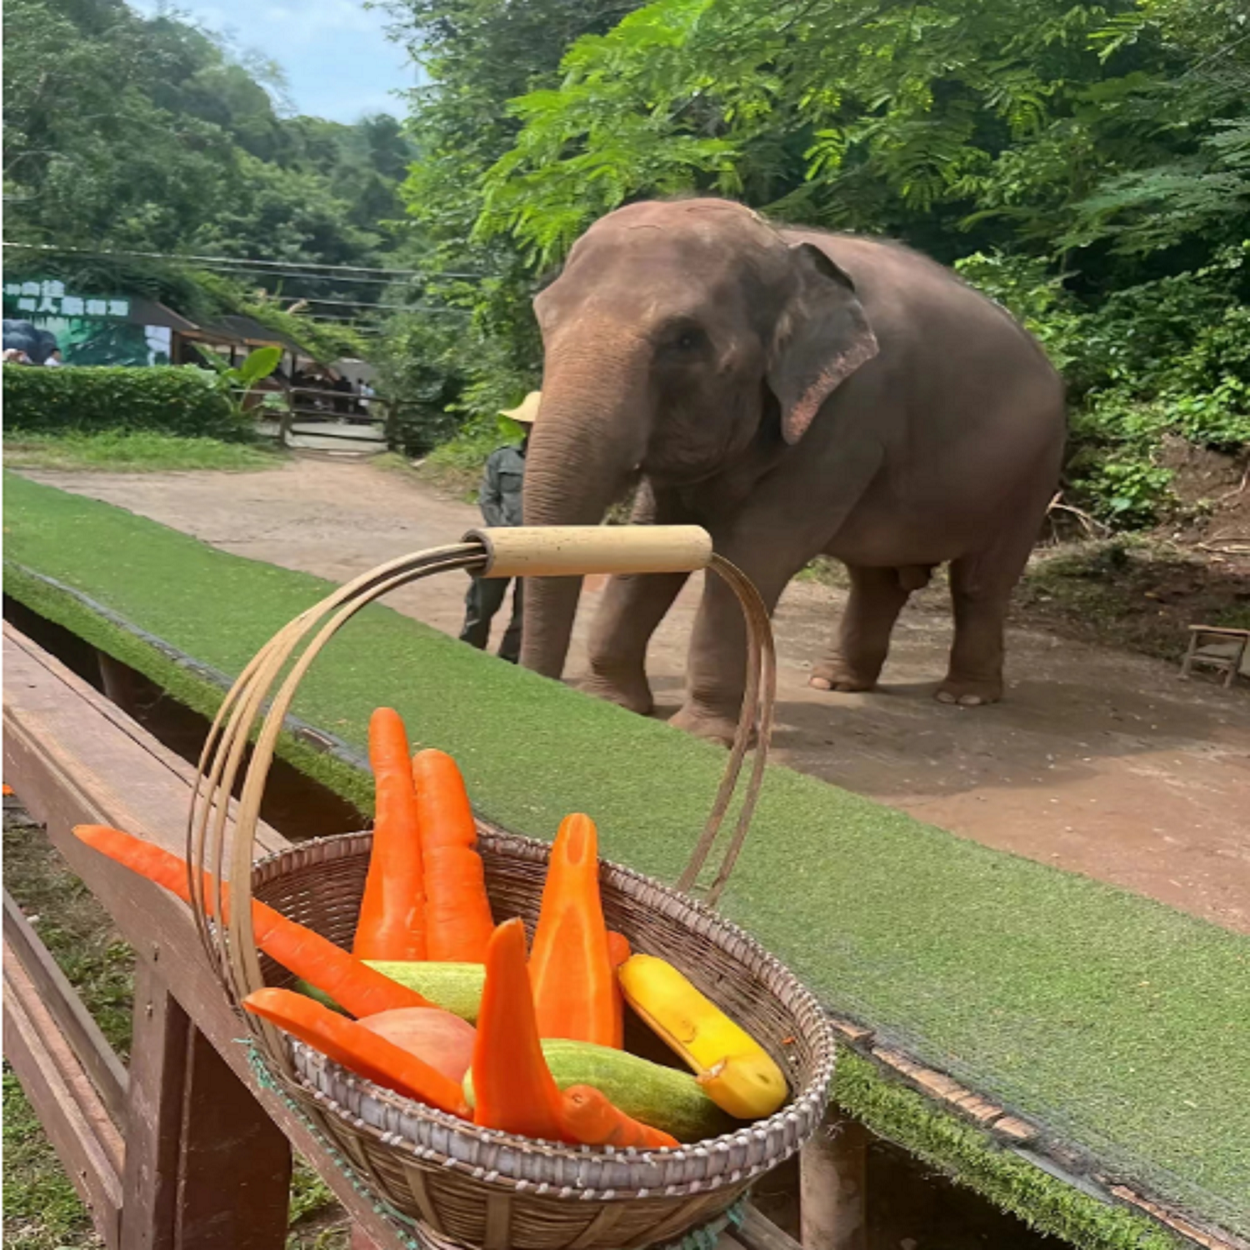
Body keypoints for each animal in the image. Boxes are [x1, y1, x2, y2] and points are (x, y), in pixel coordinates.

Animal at [520, 197, 1066, 744]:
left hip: (1033, 471)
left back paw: (963, 695)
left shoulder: (849, 414)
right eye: (543, 318)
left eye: (687, 340)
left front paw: (703, 735)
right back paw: (835, 682)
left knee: (980, 582)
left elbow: (760, 552)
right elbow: (659, 538)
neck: (782, 244)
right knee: (875, 578)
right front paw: (610, 702)